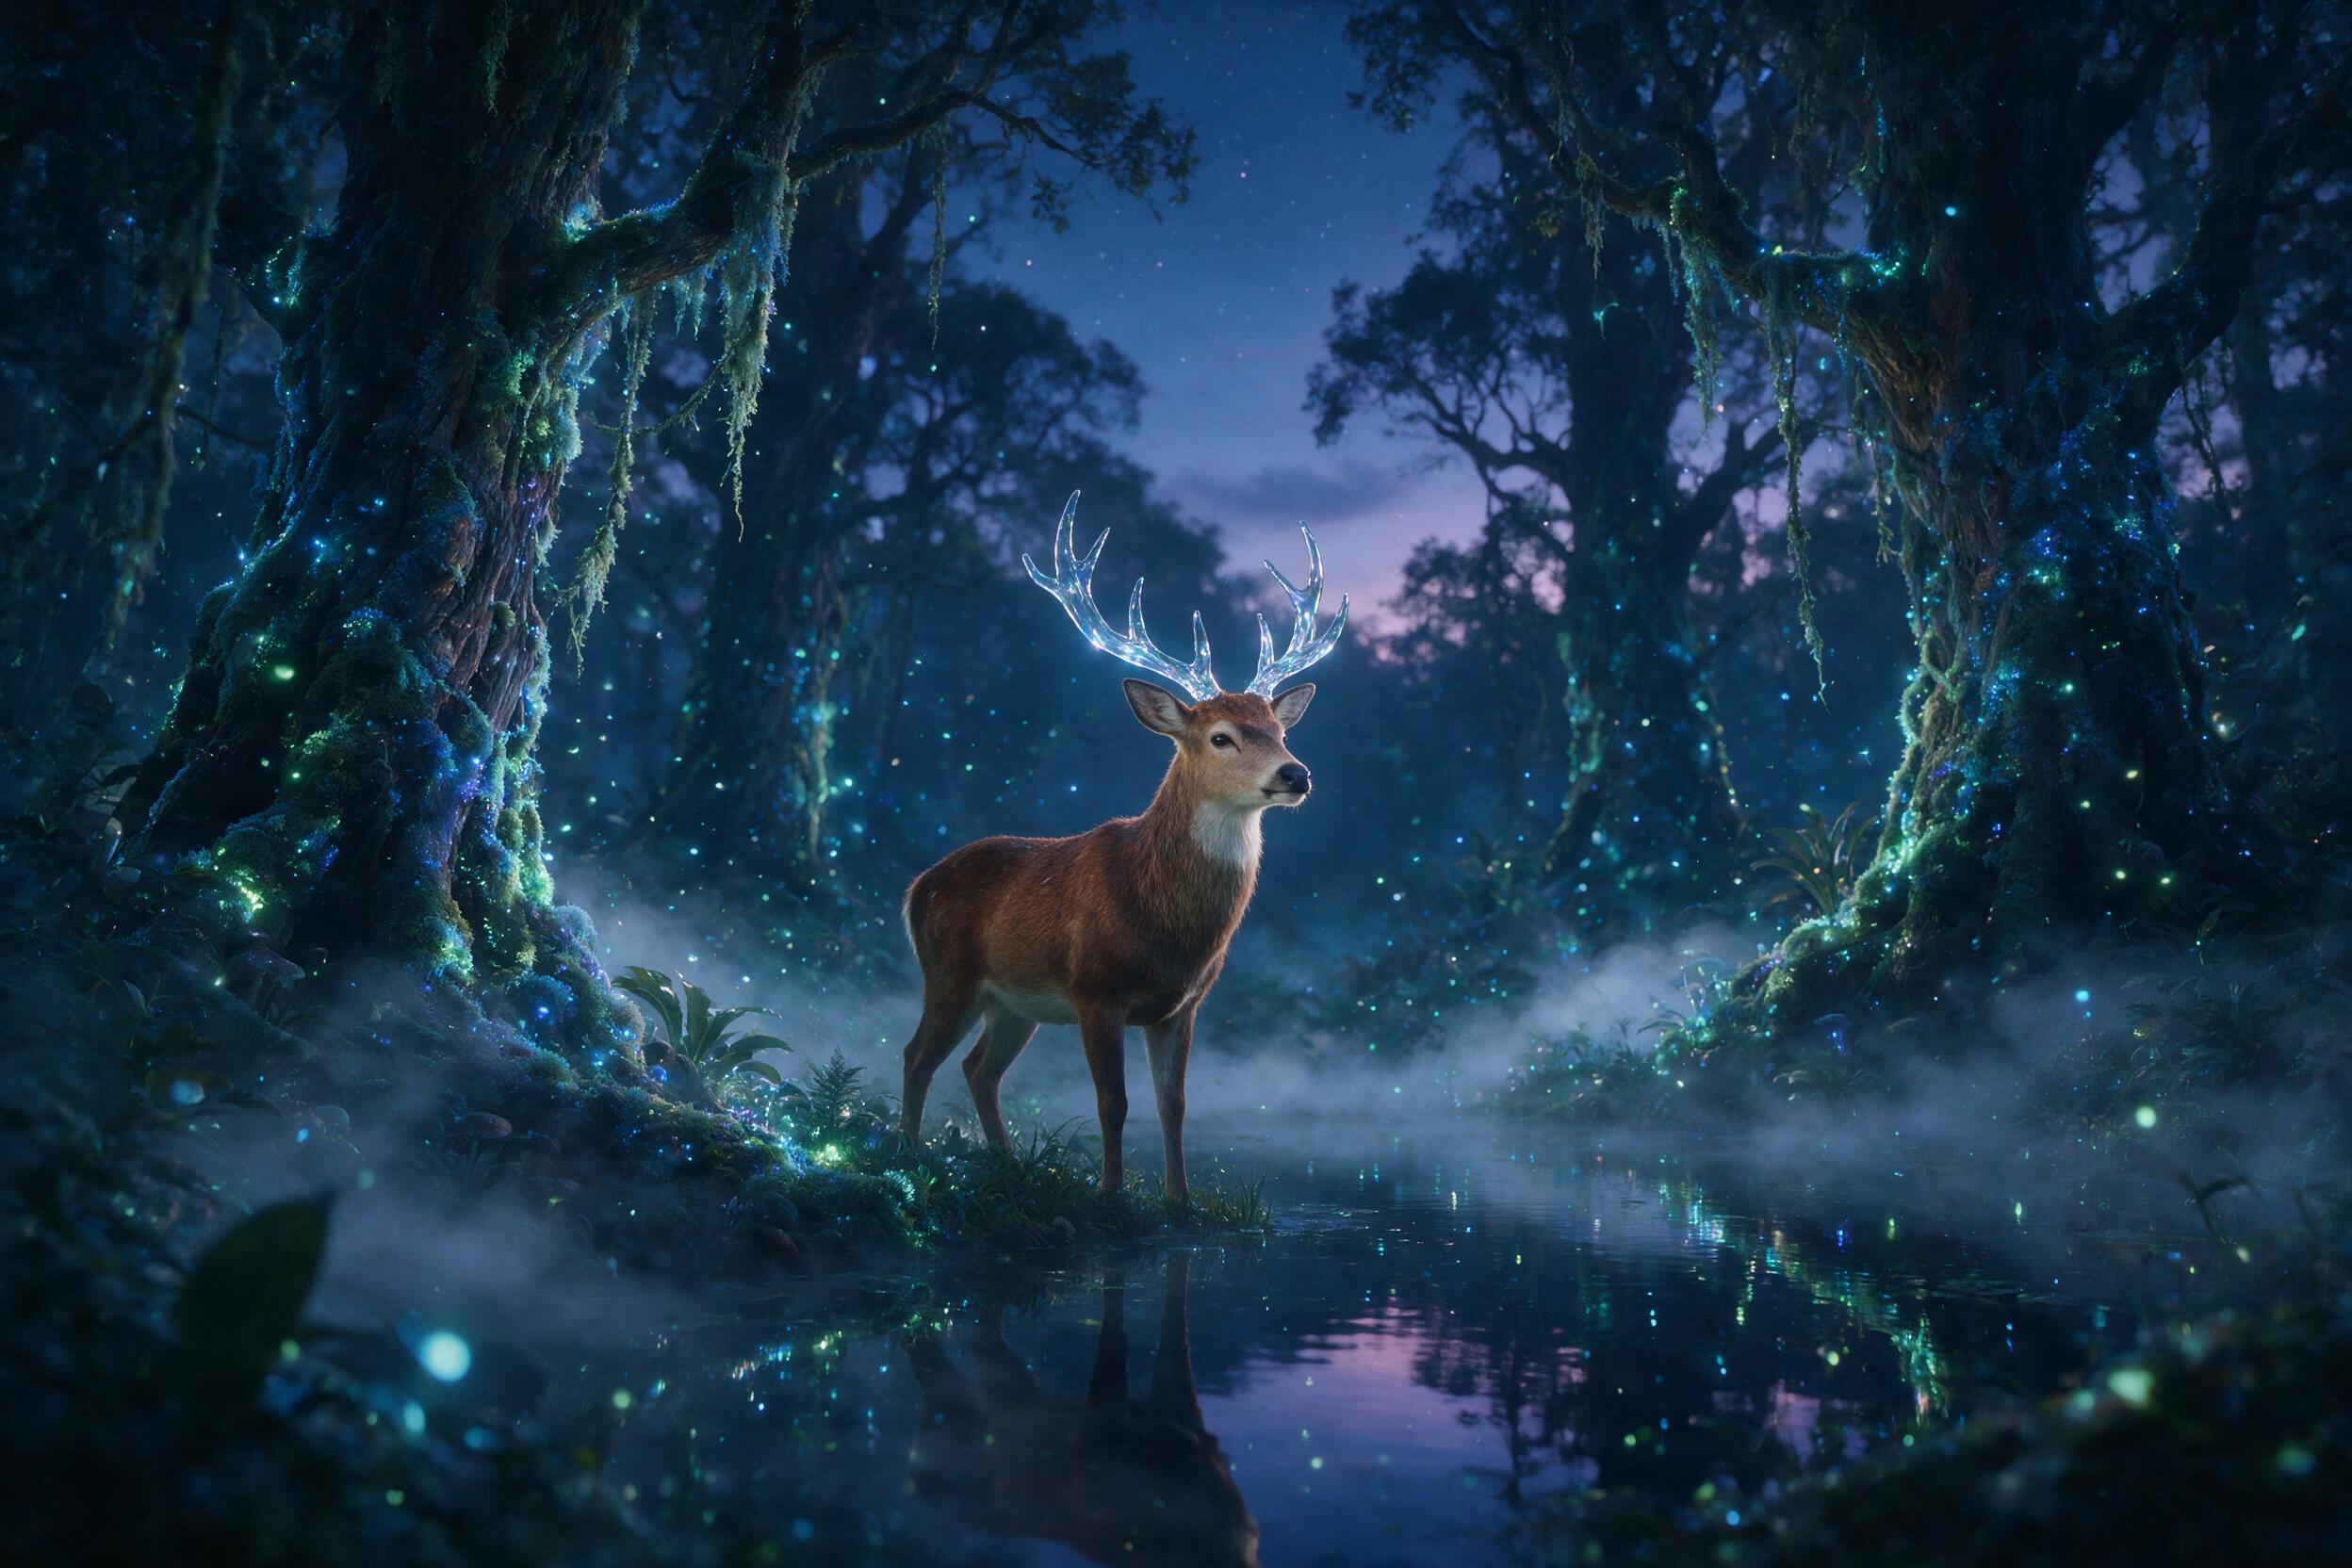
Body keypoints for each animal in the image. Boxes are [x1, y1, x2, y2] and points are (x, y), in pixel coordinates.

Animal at [897, 492, 1347, 1200]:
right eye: (1221, 736)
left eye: (1279, 729)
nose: (1295, 774)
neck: (1164, 922)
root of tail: (916, 887)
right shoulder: (1096, 989)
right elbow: (1114, 1103)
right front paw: (1111, 1194)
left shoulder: (1183, 1005)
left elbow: (1174, 1104)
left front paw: (1178, 1200)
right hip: (949, 973)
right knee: (917, 1055)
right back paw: (908, 1155)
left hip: (1011, 1003)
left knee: (978, 1068)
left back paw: (1005, 1163)